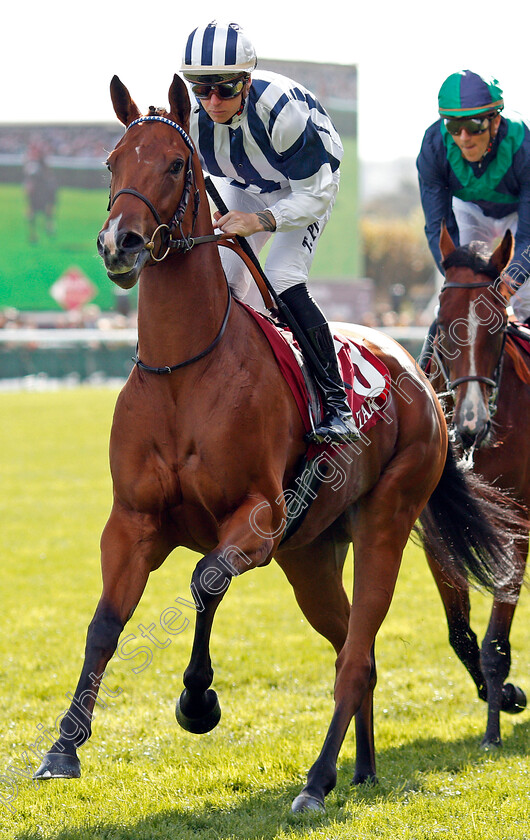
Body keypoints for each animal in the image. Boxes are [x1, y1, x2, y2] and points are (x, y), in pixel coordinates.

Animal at [33, 77, 520, 808]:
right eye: (112, 162)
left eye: (173, 165)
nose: (119, 243)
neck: (184, 371)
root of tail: (417, 376)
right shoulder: (132, 522)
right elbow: (102, 625)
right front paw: (63, 749)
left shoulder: (258, 521)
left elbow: (205, 580)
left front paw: (198, 701)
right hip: (311, 556)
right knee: (357, 650)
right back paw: (360, 769)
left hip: (383, 521)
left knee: (356, 654)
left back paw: (317, 781)